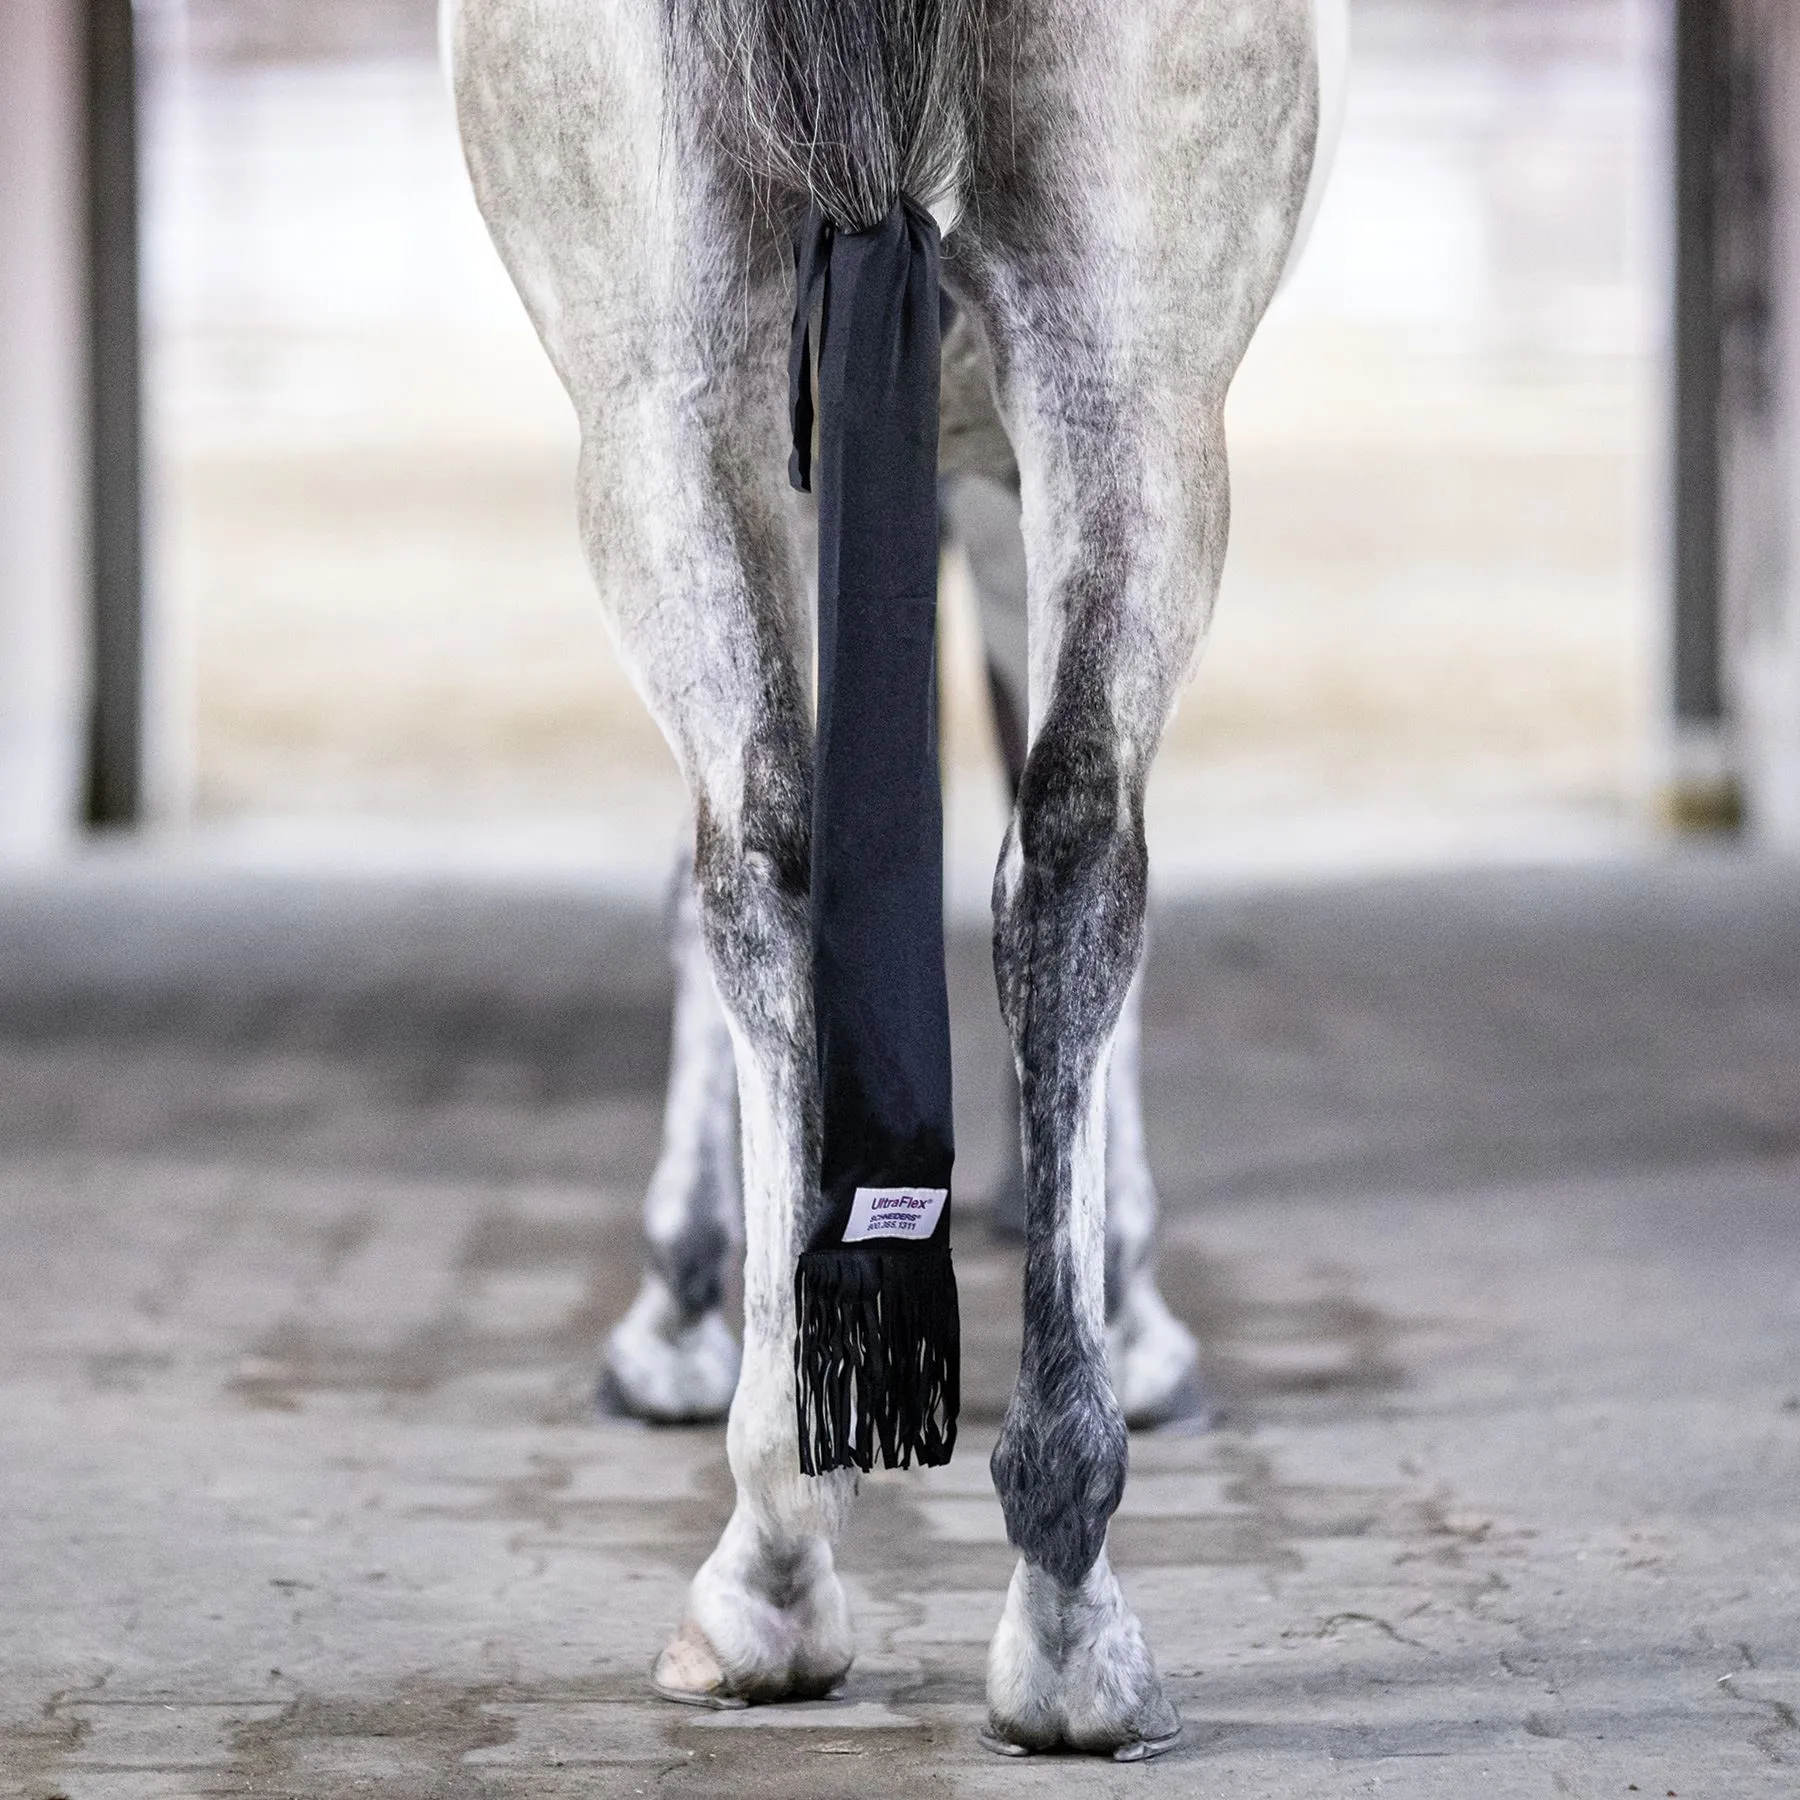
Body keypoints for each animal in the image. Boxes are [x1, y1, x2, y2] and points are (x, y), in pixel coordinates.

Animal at [448, 0, 1344, 1757]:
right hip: (1110, 389)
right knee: (1057, 852)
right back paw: (1057, 1603)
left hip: (675, 400)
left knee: (798, 856)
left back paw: (788, 1563)